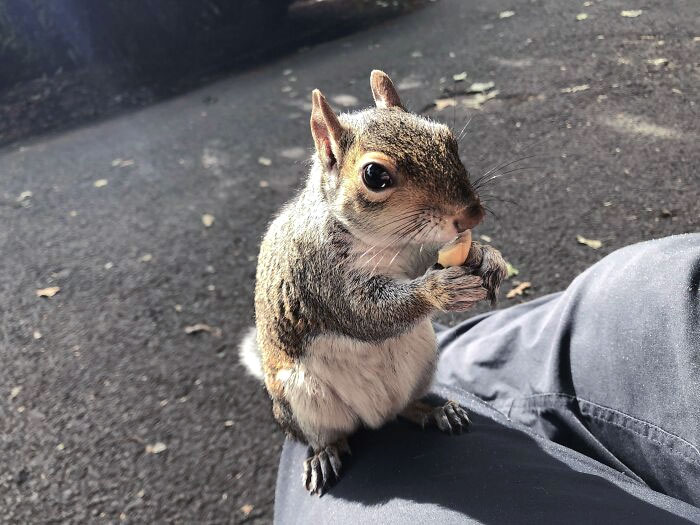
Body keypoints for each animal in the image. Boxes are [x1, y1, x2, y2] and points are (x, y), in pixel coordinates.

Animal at [238, 69, 506, 496]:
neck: (387, 242)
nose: (471, 216)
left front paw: (486, 256)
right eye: (375, 176)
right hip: (301, 400)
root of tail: (374, 418)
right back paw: (325, 454)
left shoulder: (416, 251)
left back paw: (435, 411)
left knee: (405, 410)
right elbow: (365, 315)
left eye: (447, 137)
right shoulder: (318, 277)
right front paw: (440, 290)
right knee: (327, 434)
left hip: (422, 360)